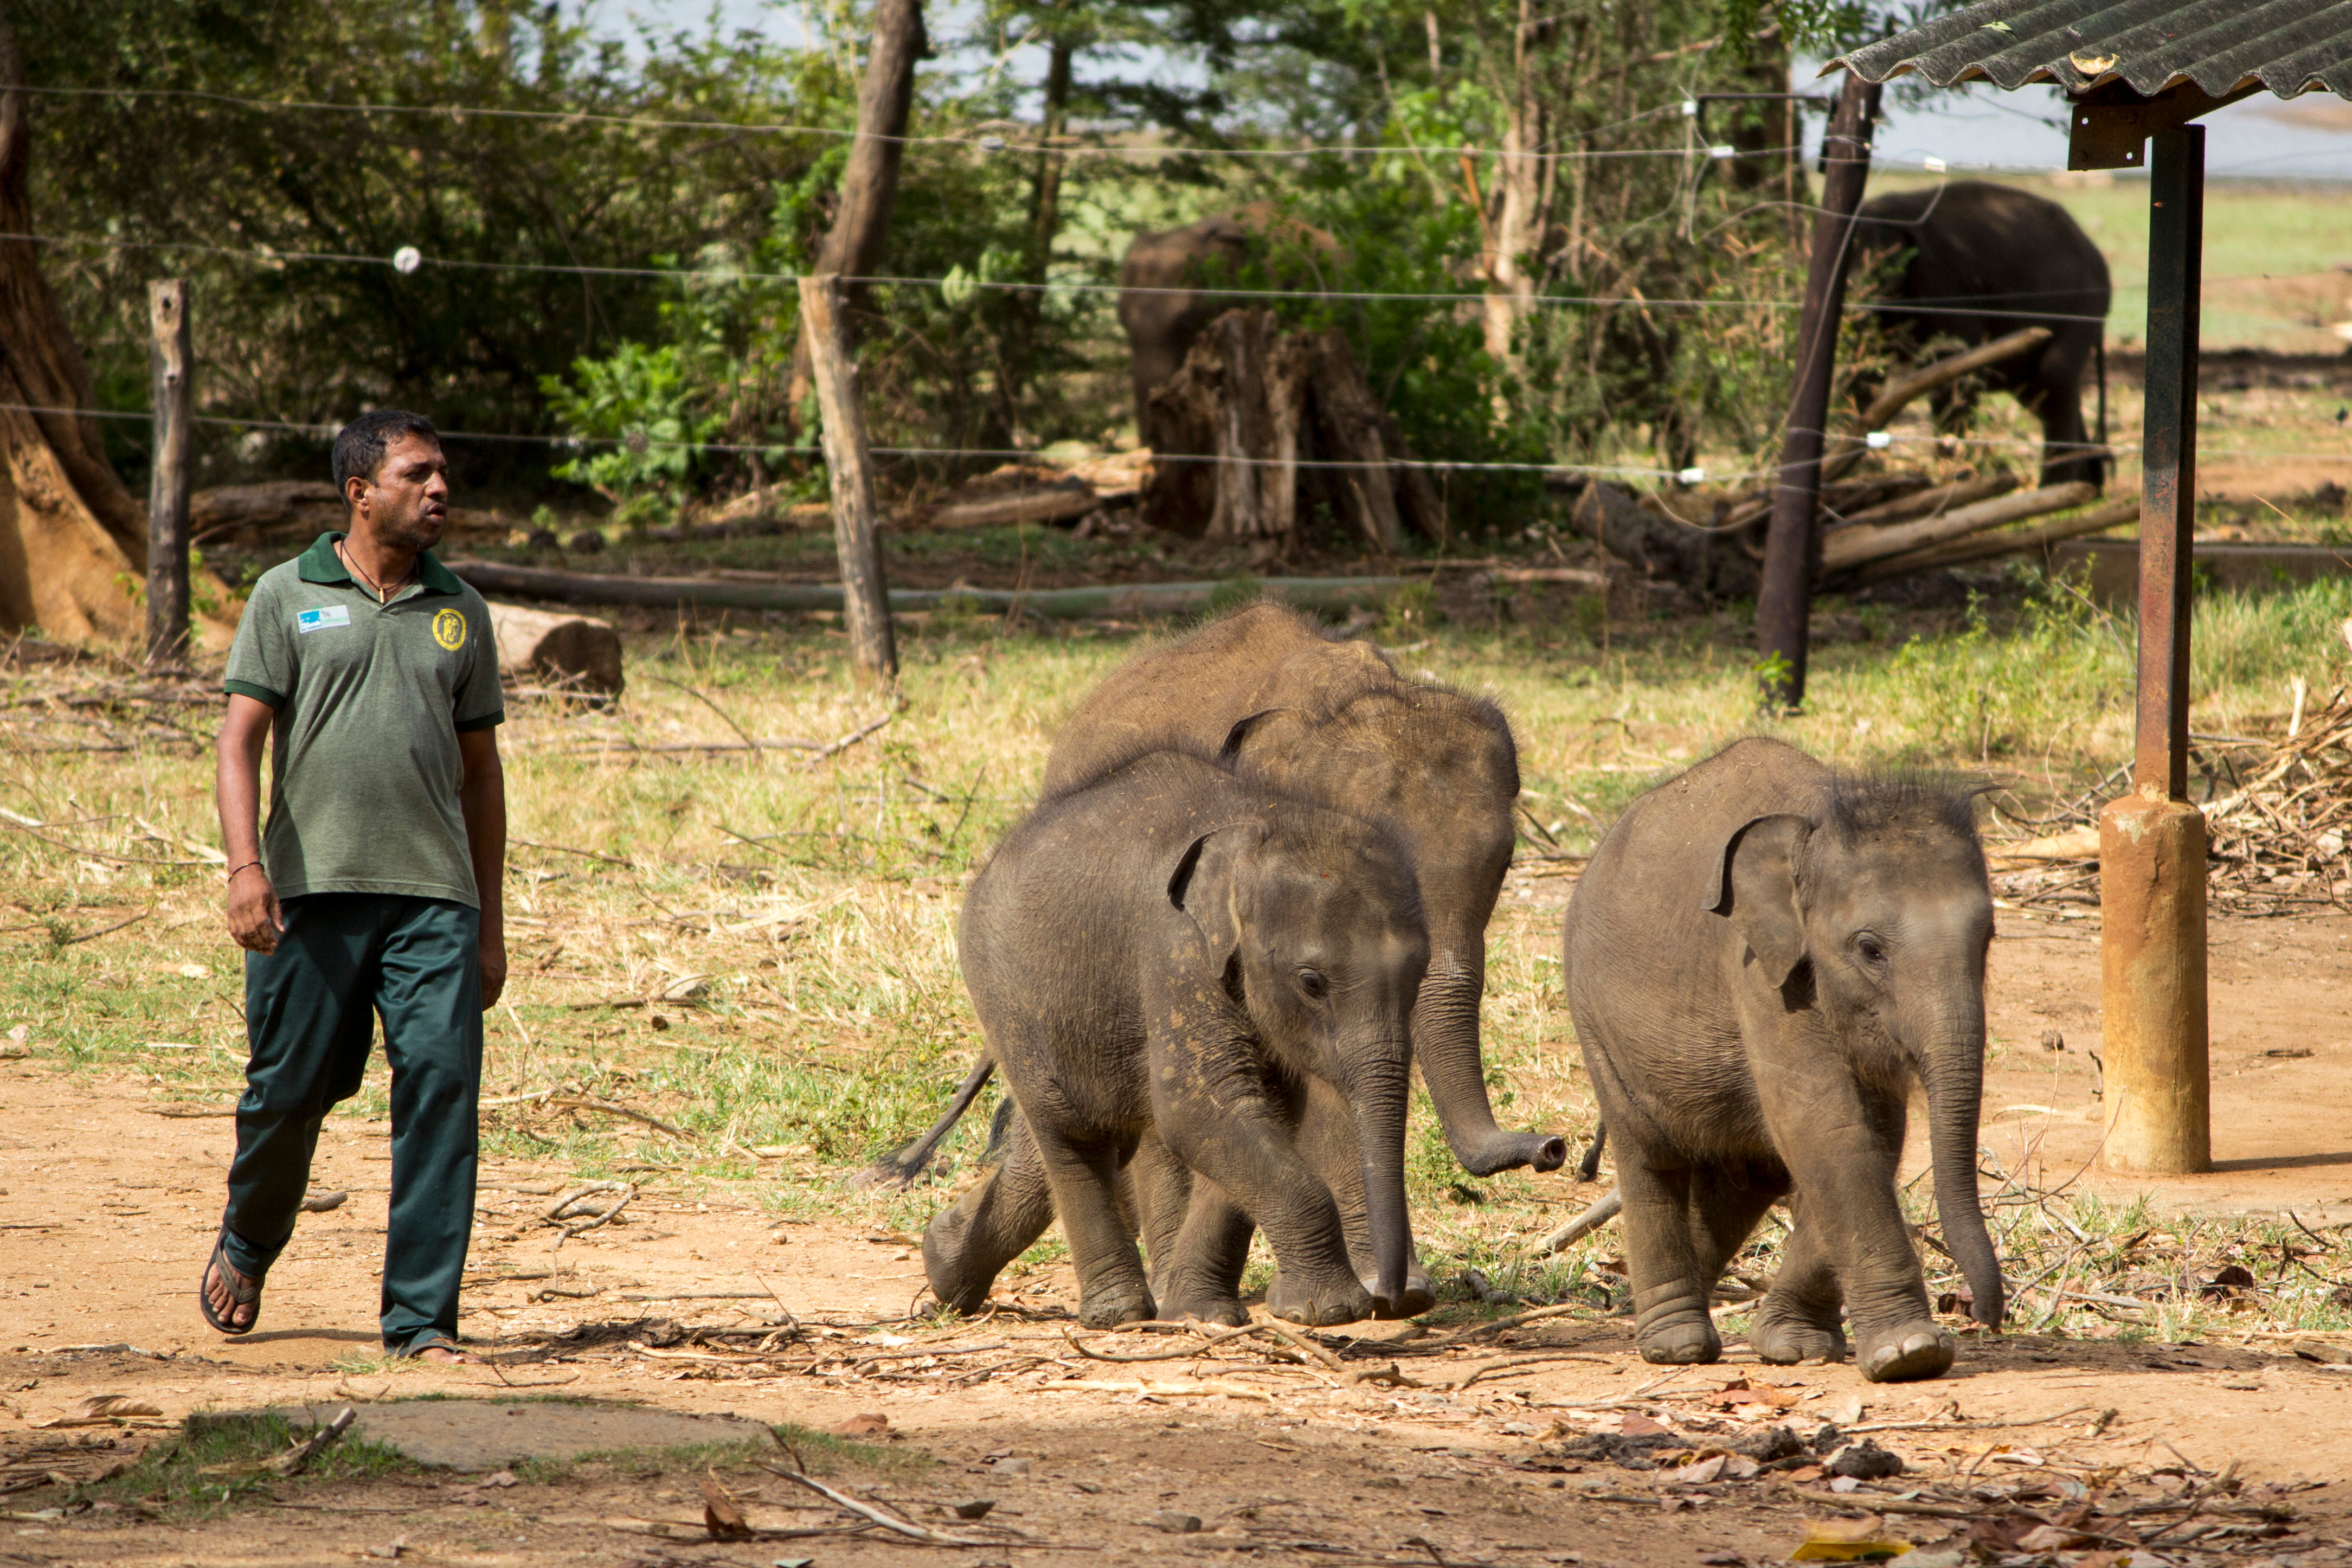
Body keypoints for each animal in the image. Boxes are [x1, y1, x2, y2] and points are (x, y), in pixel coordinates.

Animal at [922, 749, 1428, 1328]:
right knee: (1069, 1131)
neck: (1262, 822)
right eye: (1311, 983)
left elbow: (1251, 1114)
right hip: (1005, 996)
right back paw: (1117, 1315)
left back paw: (944, 1263)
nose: (1395, 1301)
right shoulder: (1175, 950)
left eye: (1422, 972)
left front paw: (1200, 1314)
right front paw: (1330, 1311)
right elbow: (1199, 1108)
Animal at [1559, 738, 2004, 1384]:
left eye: (1989, 937)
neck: (1815, 826)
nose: (1985, 1316)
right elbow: (1825, 1127)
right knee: (1649, 1153)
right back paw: (1676, 1344)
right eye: (1869, 950)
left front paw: (1795, 1347)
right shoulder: (1758, 971)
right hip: (1596, 1021)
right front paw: (1910, 1355)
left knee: (1744, 1178)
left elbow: (1871, 1135)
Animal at [1852, 181, 2112, 490]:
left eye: (1886, 270)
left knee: (2053, 379)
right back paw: (2089, 487)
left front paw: (1955, 481)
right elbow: (1866, 374)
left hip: (2081, 309)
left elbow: (1954, 367)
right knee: (2037, 394)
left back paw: (2055, 488)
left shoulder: (1941, 280)